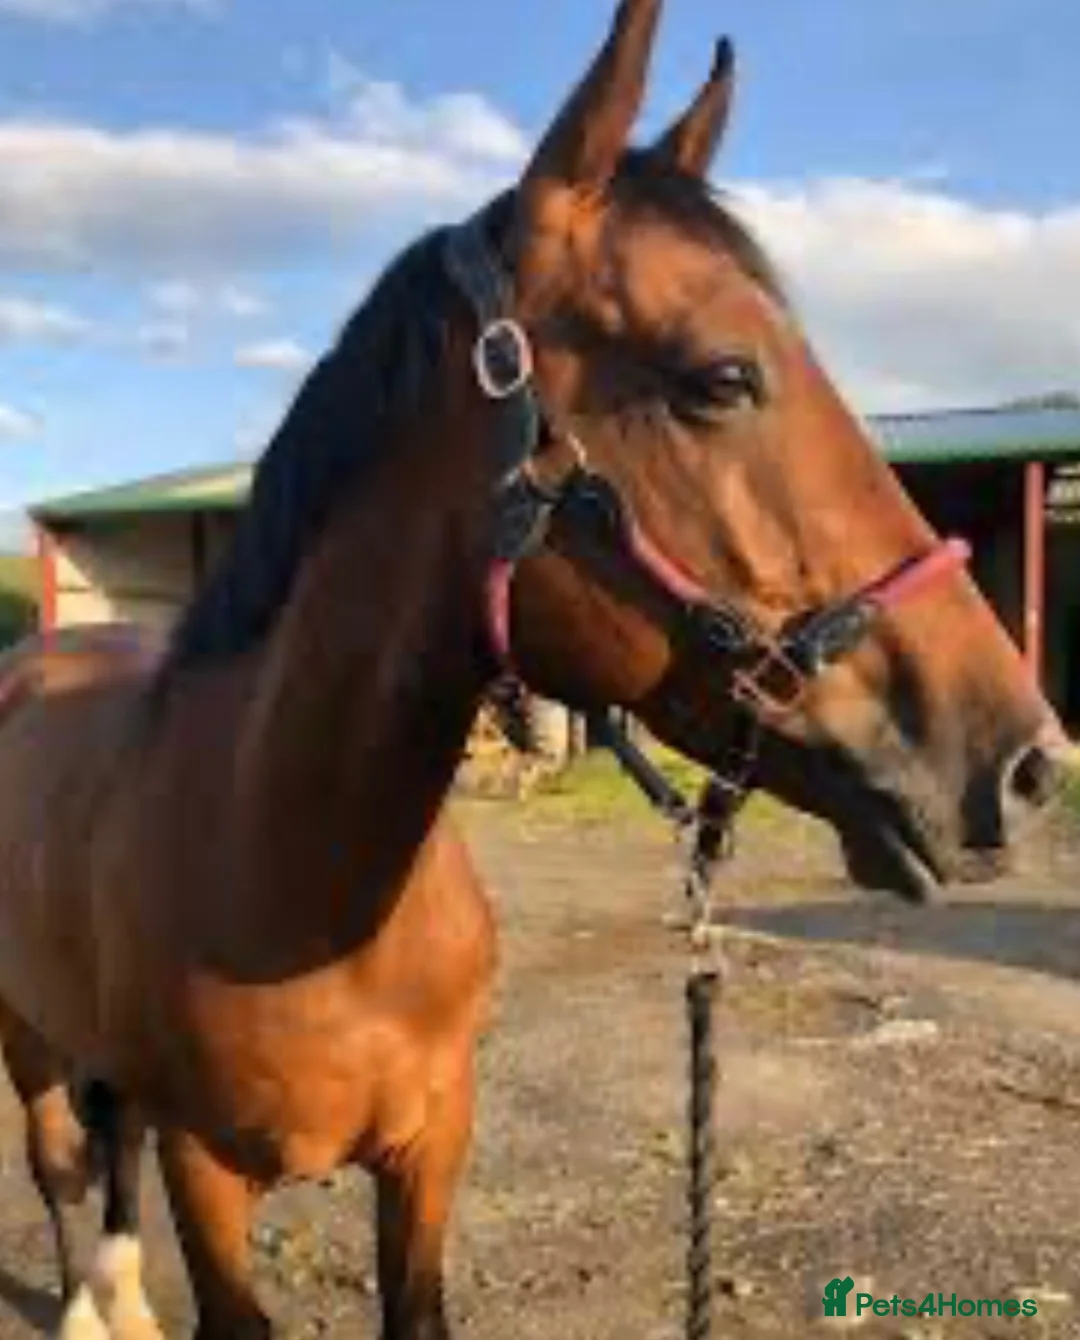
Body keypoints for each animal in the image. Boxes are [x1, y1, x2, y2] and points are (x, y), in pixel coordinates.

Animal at [0, 3, 1066, 1338]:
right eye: (720, 377)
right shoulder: (214, 1182)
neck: (289, 882)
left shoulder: (432, 1147)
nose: (1029, 766)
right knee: (63, 1158)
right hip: (24, 1031)